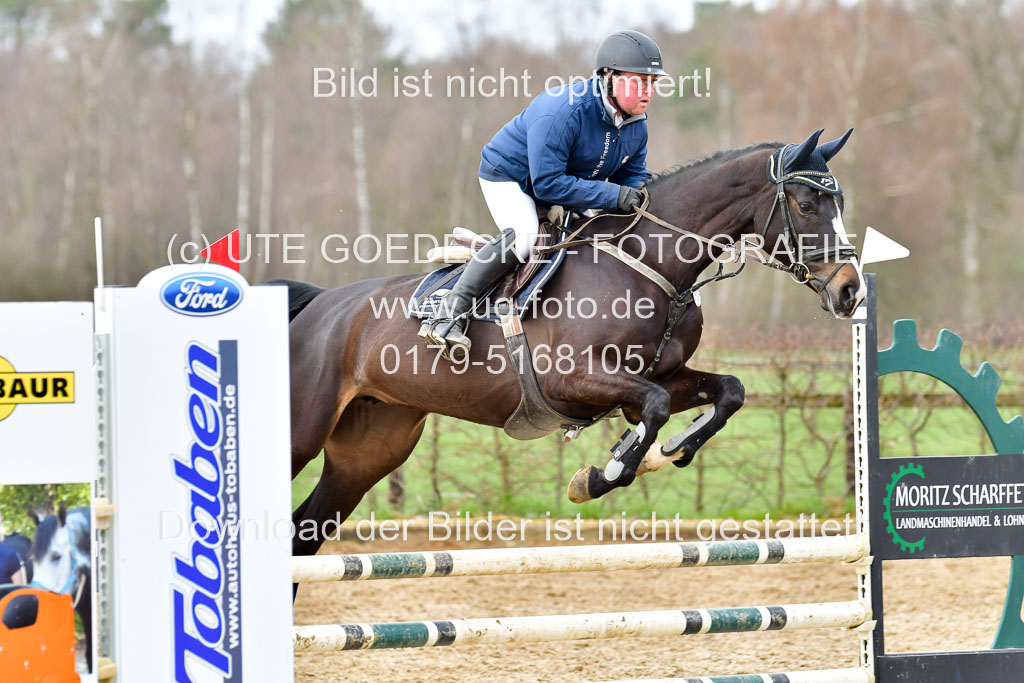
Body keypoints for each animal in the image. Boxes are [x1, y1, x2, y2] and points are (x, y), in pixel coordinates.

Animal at [275, 129, 865, 561]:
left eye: (837, 202)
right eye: (807, 204)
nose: (850, 290)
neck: (651, 266)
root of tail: (321, 305)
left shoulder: (656, 378)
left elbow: (728, 392)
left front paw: (668, 452)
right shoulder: (573, 379)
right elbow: (652, 409)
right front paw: (606, 472)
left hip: (371, 448)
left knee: (306, 531)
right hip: (303, 434)